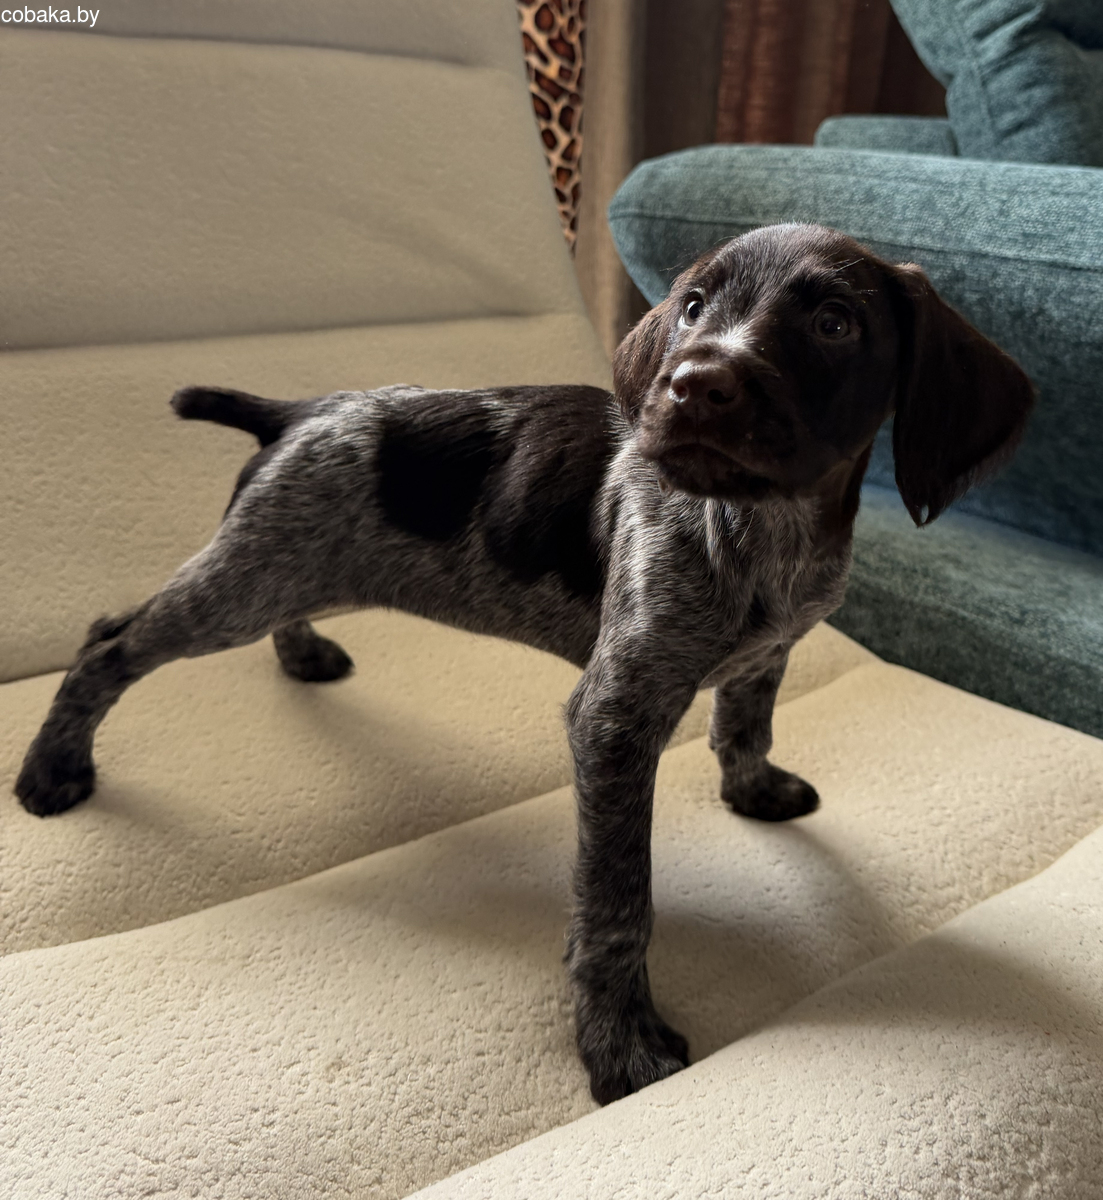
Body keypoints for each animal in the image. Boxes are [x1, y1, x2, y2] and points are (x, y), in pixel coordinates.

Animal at [15, 223, 1034, 1104]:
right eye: (693, 305)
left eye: (833, 322)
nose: (691, 384)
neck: (763, 530)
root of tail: (305, 411)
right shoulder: (615, 719)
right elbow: (618, 904)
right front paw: (618, 1041)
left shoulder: (767, 651)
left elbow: (745, 724)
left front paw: (753, 789)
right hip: (242, 582)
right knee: (108, 641)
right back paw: (53, 767)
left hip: (291, 567)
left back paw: (302, 652)